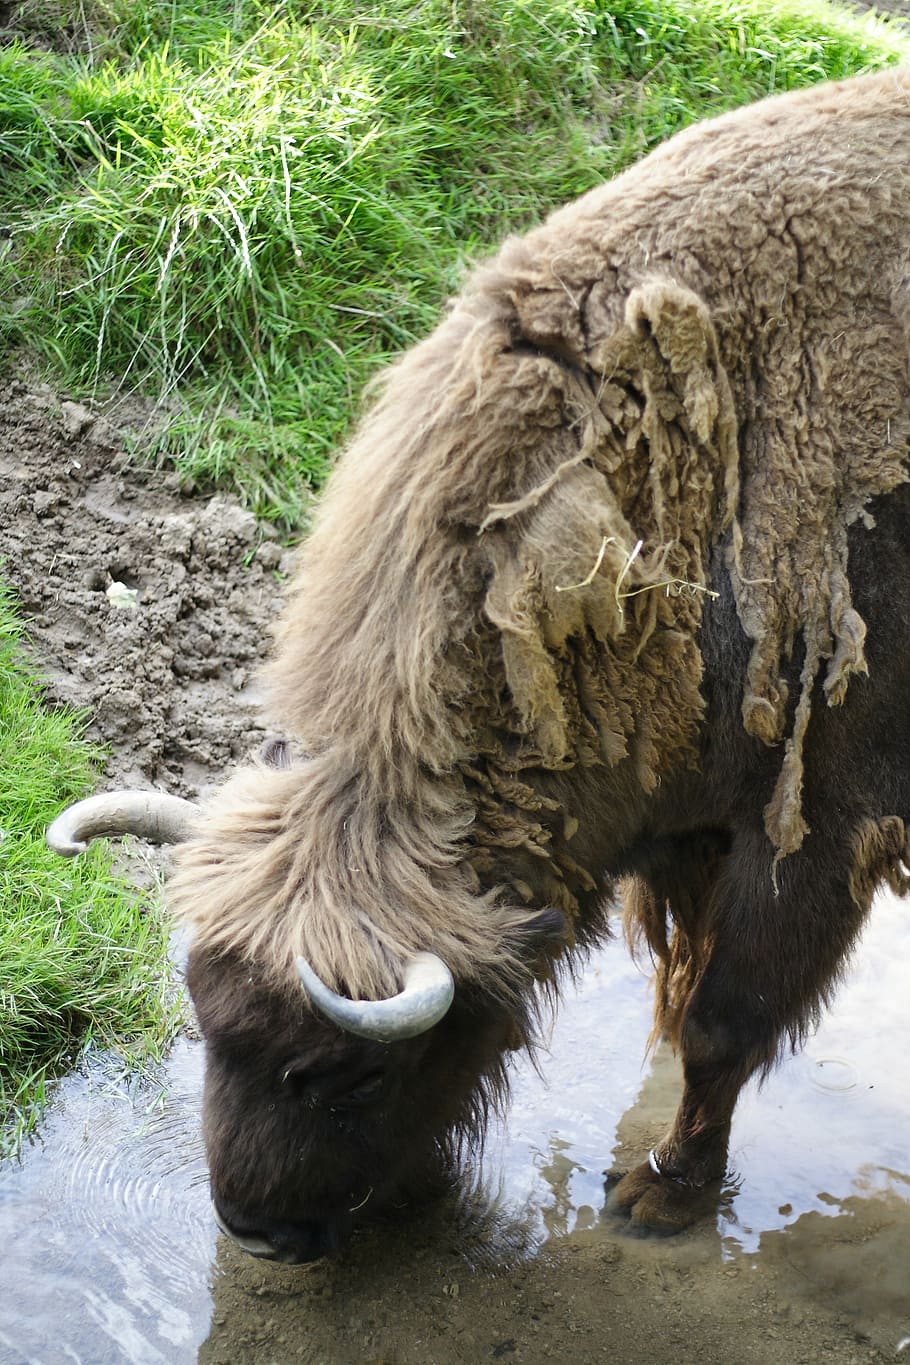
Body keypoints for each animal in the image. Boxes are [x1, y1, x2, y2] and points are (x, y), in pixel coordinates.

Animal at [50, 68, 910, 1262]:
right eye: (203, 1019)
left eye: (344, 1074)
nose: (257, 1230)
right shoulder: (692, 828)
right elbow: (680, 987)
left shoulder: (813, 827)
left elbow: (720, 1021)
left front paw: (658, 1196)